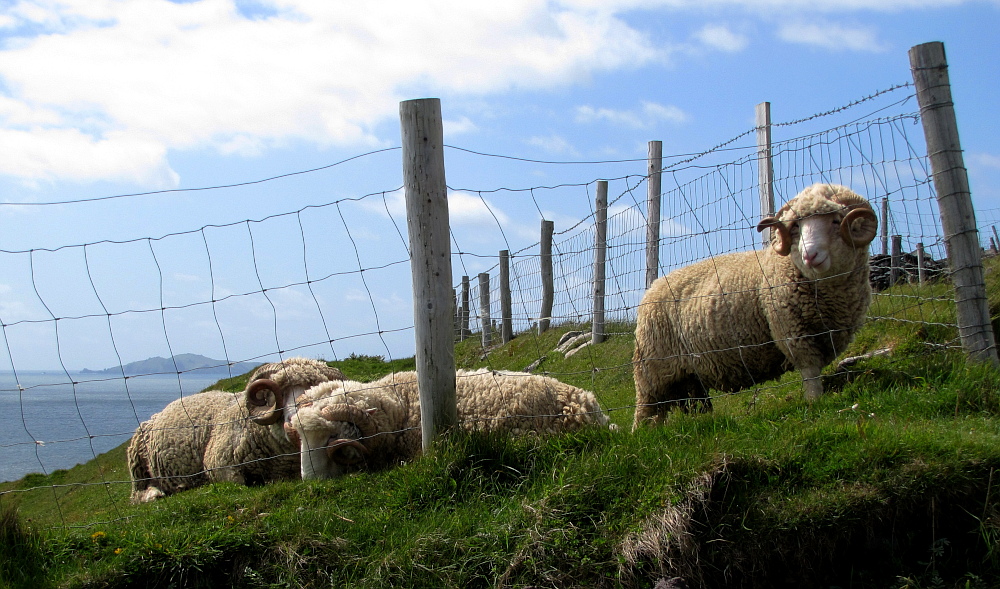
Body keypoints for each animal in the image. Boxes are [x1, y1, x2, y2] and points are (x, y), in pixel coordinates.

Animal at [126, 356, 344, 504]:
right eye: (281, 392)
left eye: (316, 389)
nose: (293, 423)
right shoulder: (218, 465)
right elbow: (237, 483)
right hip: (138, 464)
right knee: (137, 494)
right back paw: (156, 493)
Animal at [632, 183, 876, 428]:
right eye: (796, 226)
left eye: (835, 221)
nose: (810, 255)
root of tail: (653, 287)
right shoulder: (793, 334)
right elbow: (810, 372)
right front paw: (815, 401)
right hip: (652, 370)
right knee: (647, 409)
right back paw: (644, 432)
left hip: (691, 376)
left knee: (692, 404)